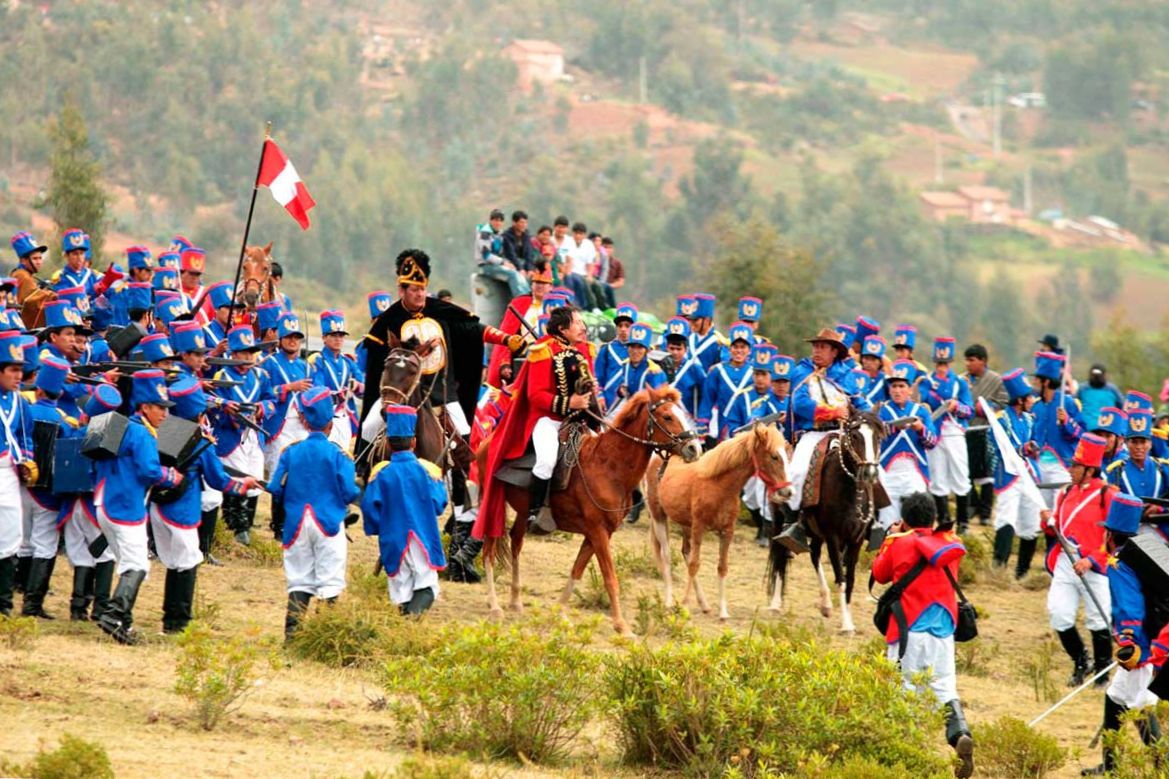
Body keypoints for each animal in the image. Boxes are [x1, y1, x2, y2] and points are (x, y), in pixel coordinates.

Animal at [476, 385, 701, 636]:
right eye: (667, 416)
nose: (694, 448)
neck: (609, 466)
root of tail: (487, 442)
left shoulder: (598, 533)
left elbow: (577, 570)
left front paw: (559, 613)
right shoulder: (598, 531)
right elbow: (610, 577)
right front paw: (622, 626)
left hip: (524, 512)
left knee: (516, 542)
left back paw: (515, 600)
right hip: (492, 505)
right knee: (488, 551)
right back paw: (495, 606)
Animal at [645, 421, 790, 617]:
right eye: (774, 456)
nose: (787, 492)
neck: (718, 486)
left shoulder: (727, 531)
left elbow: (721, 567)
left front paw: (723, 612)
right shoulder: (699, 527)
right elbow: (694, 565)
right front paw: (684, 605)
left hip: (685, 524)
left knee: (685, 552)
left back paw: (704, 603)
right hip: (659, 516)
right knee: (666, 555)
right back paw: (669, 601)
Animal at [762, 407, 879, 631]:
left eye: (878, 437)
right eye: (855, 436)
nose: (869, 473)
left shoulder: (856, 539)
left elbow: (850, 579)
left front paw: (848, 618)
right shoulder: (833, 536)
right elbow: (841, 578)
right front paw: (846, 625)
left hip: (816, 533)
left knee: (814, 554)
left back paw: (825, 604)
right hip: (779, 521)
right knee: (781, 556)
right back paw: (774, 604)